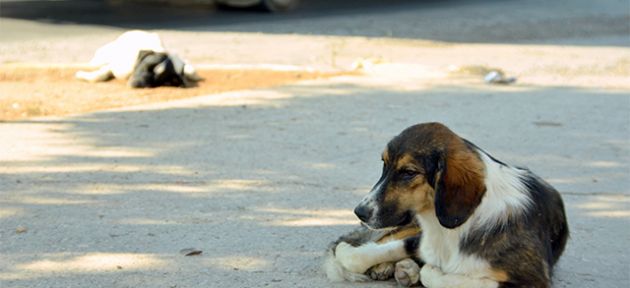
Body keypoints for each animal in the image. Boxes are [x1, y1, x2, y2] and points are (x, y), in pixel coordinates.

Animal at [328, 122, 572, 288]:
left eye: (408, 172)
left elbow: (442, 276)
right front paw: (348, 252)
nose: (359, 212)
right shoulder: (421, 239)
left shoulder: (532, 280)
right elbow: (363, 254)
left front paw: (430, 270)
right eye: (384, 165)